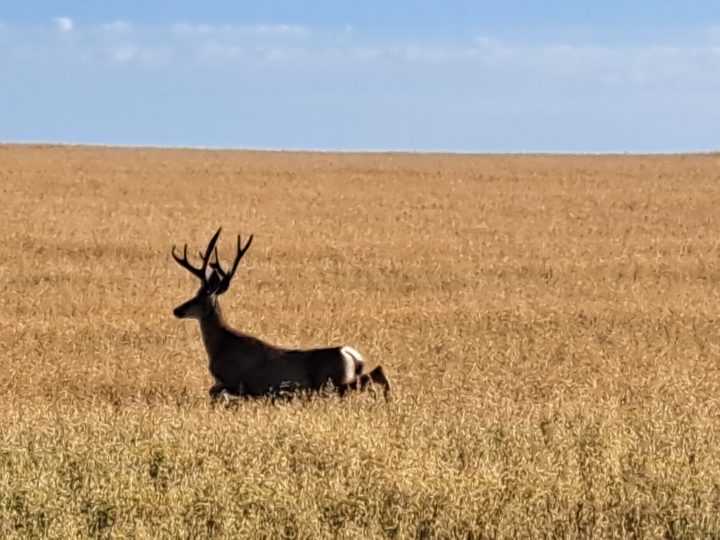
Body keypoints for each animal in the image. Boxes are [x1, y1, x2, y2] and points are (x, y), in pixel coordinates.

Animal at [171, 228, 391, 403]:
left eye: (197, 297)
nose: (177, 310)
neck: (221, 345)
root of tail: (351, 354)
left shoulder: (234, 381)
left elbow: (214, 392)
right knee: (377, 371)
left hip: (331, 383)